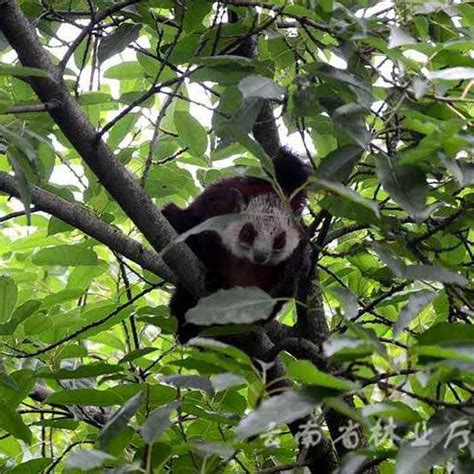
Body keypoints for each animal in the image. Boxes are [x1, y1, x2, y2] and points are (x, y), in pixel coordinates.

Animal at [163, 147, 312, 340]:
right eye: (248, 232)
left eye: (280, 241)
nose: (260, 256)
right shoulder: (215, 204)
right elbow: (194, 232)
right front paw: (214, 276)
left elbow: (294, 271)